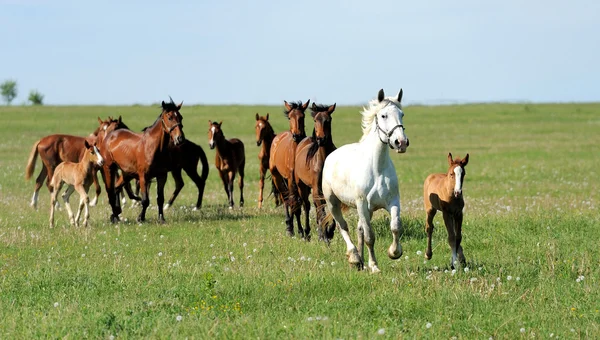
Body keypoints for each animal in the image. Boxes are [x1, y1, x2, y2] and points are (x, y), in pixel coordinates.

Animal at [270, 99, 312, 238]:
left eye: (302, 116)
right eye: (289, 117)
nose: (296, 135)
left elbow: (302, 204)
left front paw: (302, 230)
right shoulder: (291, 179)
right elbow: (295, 204)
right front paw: (299, 230)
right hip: (277, 176)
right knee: (286, 198)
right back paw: (289, 225)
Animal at [296, 101, 338, 242]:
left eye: (328, 120)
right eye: (315, 120)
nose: (321, 139)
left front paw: (329, 231)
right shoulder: (317, 189)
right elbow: (321, 212)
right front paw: (325, 235)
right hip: (301, 186)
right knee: (306, 205)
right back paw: (307, 232)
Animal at [322, 88, 410, 274]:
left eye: (402, 114)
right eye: (383, 115)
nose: (401, 142)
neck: (377, 169)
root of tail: (331, 156)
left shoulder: (392, 202)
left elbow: (395, 226)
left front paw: (394, 252)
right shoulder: (362, 204)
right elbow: (370, 236)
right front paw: (375, 266)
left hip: (367, 210)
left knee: (359, 229)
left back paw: (362, 262)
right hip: (333, 202)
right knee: (343, 226)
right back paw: (355, 258)